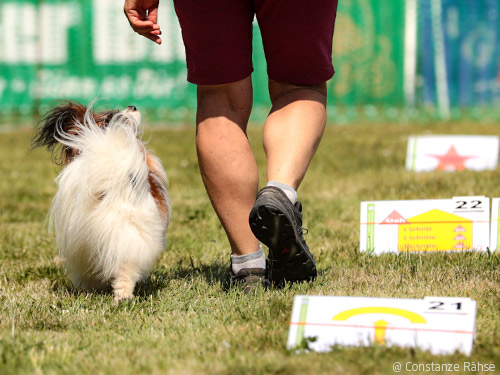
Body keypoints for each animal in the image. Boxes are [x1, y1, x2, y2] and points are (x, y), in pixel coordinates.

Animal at [33, 103, 171, 302]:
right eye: (118, 114)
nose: (133, 106)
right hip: (129, 235)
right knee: (126, 270)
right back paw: (123, 297)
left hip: (82, 246)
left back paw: (88, 291)